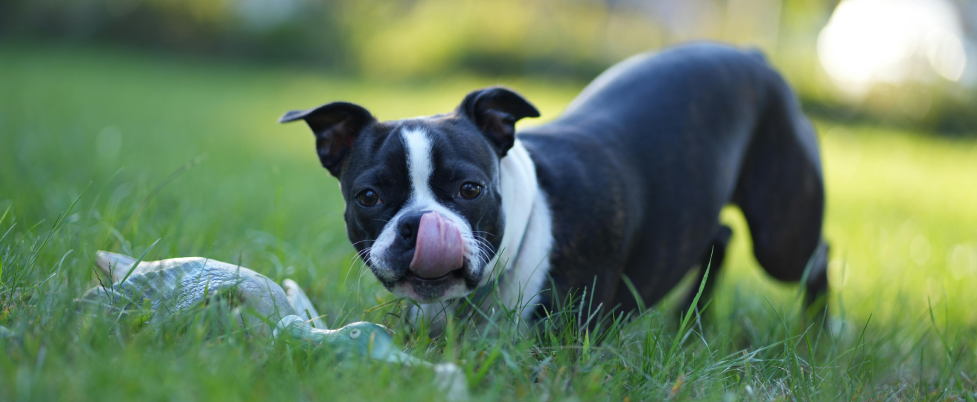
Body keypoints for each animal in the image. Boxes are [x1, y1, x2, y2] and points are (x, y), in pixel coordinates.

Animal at [278, 44, 828, 332]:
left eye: (470, 190)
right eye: (369, 197)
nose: (420, 225)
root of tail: (752, 54)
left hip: (780, 237)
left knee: (813, 256)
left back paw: (816, 335)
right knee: (719, 236)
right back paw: (689, 324)